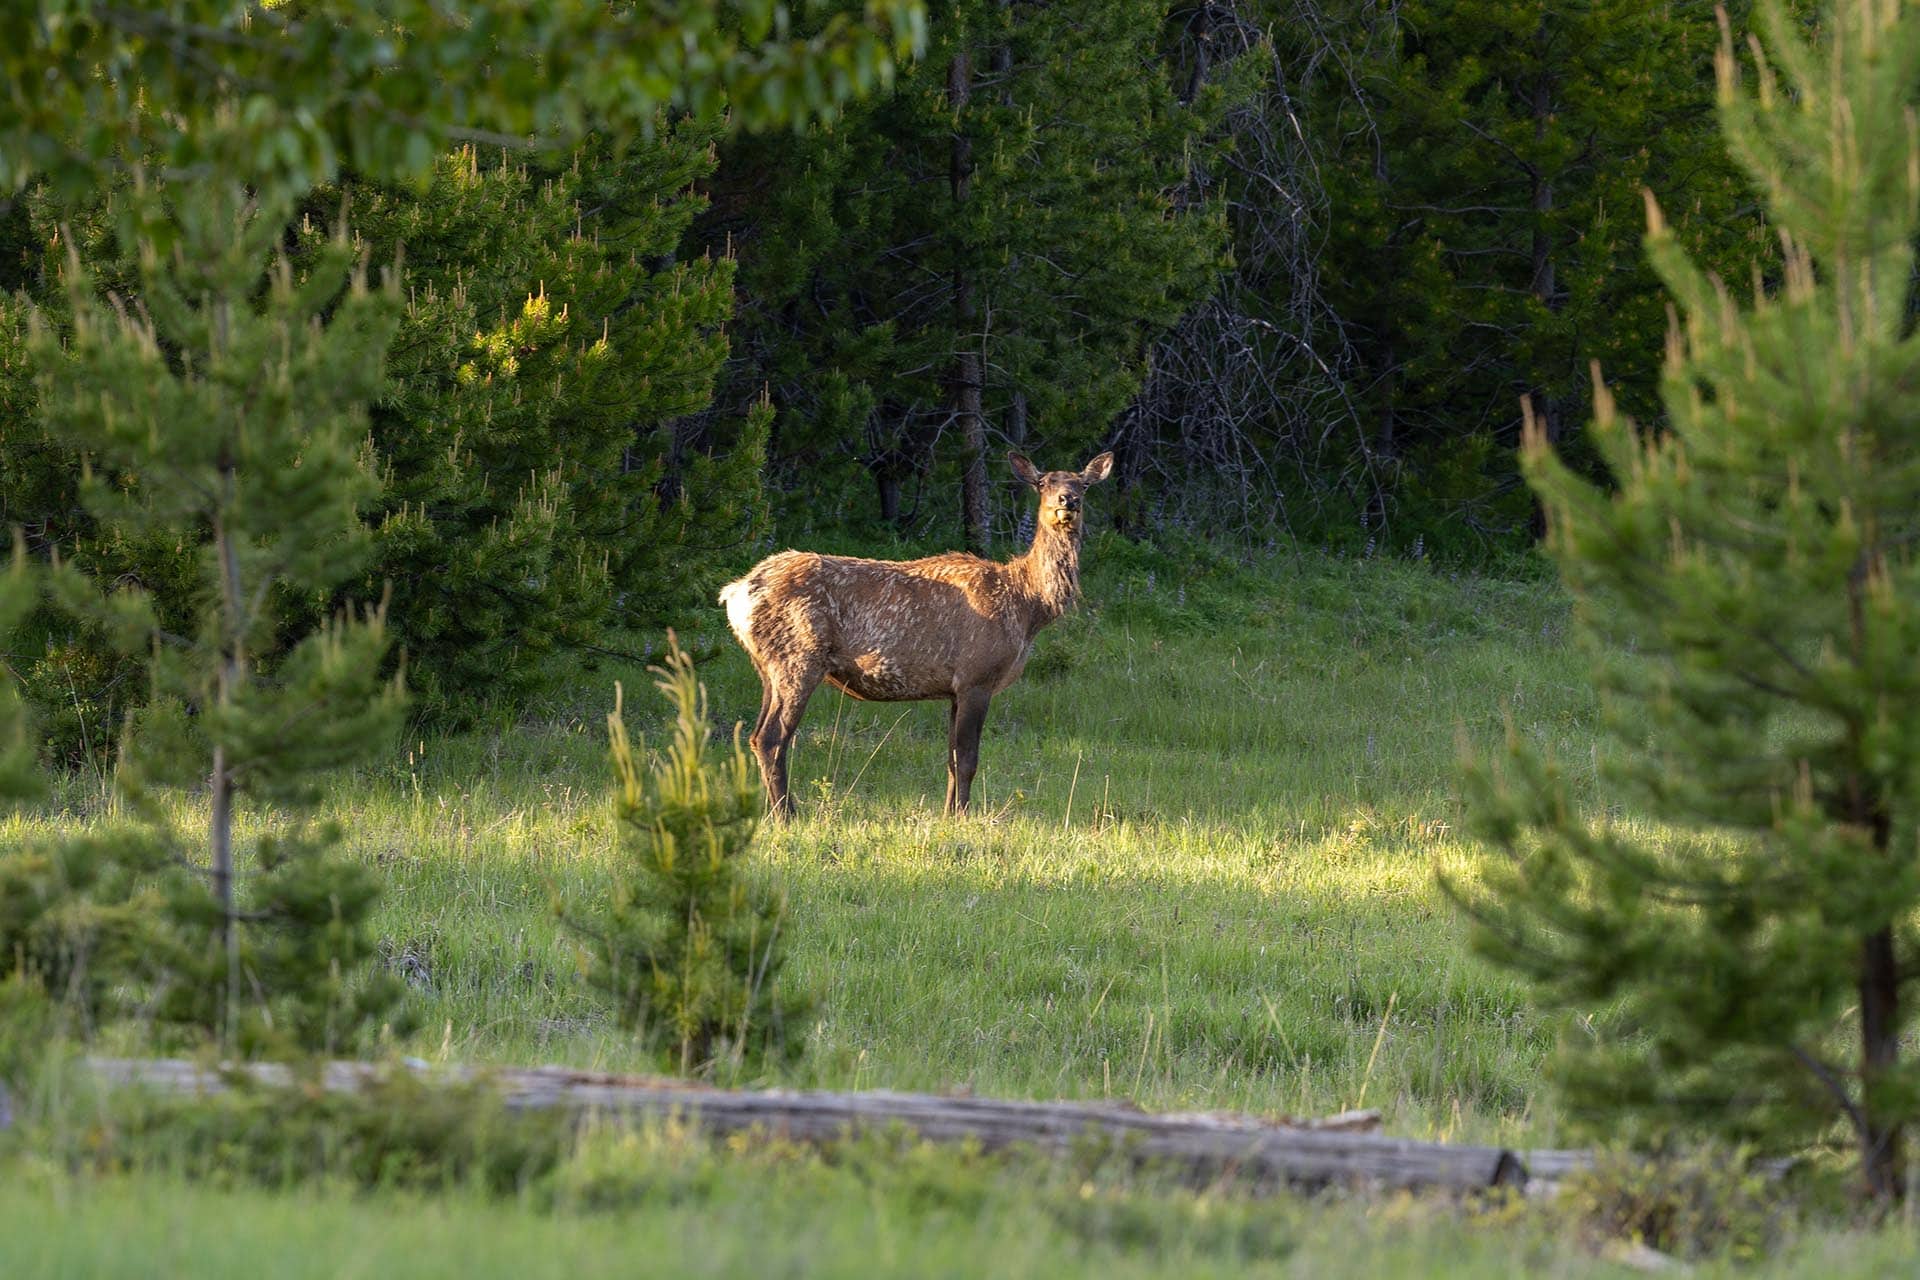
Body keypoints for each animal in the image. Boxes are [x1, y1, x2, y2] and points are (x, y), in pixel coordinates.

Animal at [719, 450, 1114, 821]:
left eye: (1083, 484)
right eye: (1042, 483)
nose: (1067, 500)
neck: (1027, 606)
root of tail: (735, 593)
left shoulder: (954, 688)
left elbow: (952, 759)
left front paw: (949, 813)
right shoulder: (977, 676)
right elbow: (968, 758)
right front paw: (963, 816)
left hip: (768, 668)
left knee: (756, 736)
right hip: (798, 658)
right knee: (772, 738)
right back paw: (786, 815)